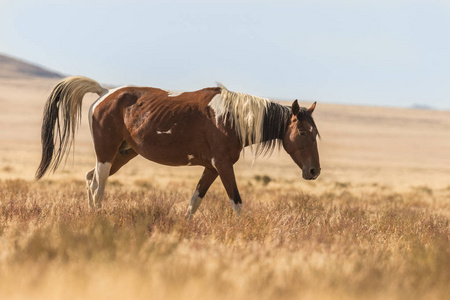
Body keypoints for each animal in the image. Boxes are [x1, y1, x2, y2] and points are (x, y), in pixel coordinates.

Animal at [36, 77, 320, 218]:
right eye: (302, 132)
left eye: (316, 133)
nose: (314, 171)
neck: (231, 118)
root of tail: (104, 93)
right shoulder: (224, 166)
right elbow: (236, 202)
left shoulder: (212, 168)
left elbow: (195, 201)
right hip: (106, 153)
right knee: (98, 187)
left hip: (122, 154)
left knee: (89, 178)